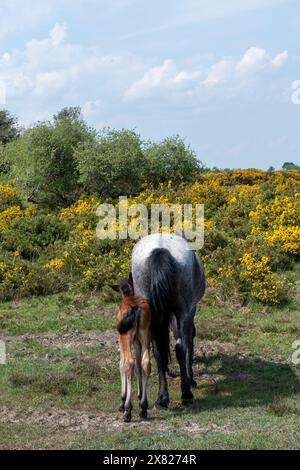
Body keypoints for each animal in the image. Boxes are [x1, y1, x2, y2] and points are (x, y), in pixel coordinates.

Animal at [110, 280, 151, 422]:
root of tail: (135, 307)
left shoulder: (121, 339)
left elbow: (121, 364)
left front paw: (122, 402)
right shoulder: (137, 342)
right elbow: (139, 365)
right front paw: (139, 395)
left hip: (125, 337)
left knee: (129, 363)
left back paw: (127, 410)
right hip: (145, 336)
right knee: (146, 363)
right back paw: (143, 407)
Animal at [132, 233, 206, 410]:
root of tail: (160, 249)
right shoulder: (190, 310)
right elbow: (188, 341)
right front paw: (191, 380)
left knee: (158, 351)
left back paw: (162, 399)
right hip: (183, 311)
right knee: (181, 347)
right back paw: (186, 393)